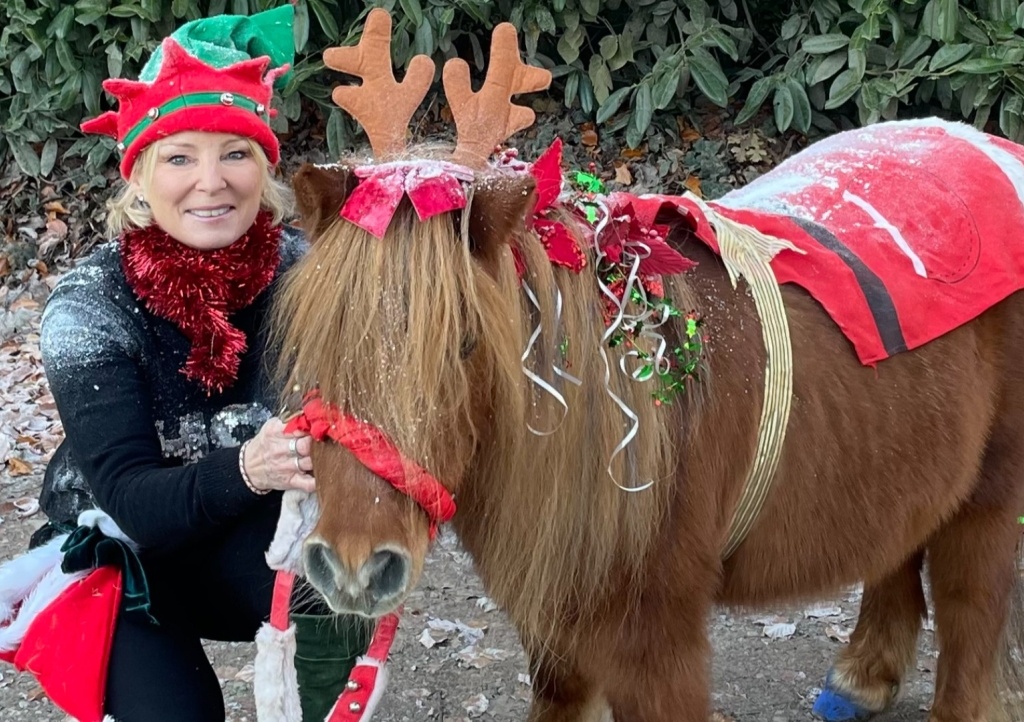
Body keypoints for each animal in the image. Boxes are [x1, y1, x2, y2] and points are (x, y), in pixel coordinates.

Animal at [270, 7, 1024, 720]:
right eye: (316, 337)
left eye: (466, 340)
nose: (355, 568)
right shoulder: (557, 633)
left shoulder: (657, 645)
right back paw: (864, 678)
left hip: (990, 496)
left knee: (971, 608)